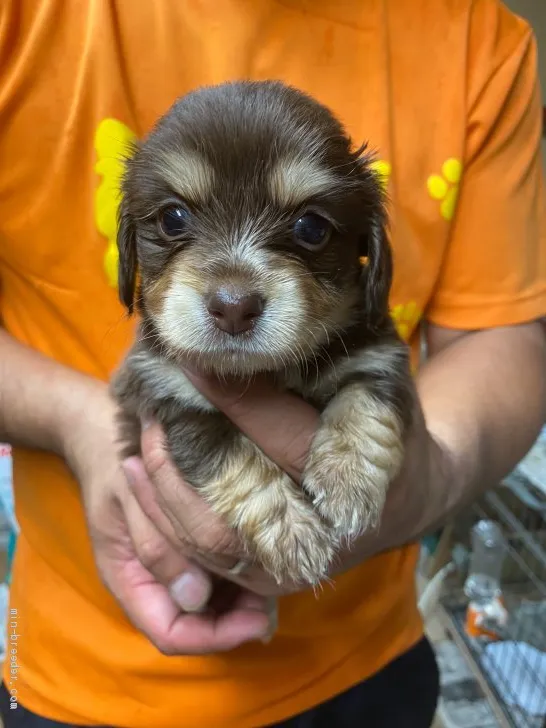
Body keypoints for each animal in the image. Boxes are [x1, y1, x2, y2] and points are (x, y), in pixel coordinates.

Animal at [112, 82, 414, 588]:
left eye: (311, 226)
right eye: (173, 218)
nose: (234, 307)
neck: (268, 373)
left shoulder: (379, 357)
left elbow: (366, 405)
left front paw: (347, 479)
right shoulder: (170, 395)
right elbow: (236, 458)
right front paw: (293, 531)